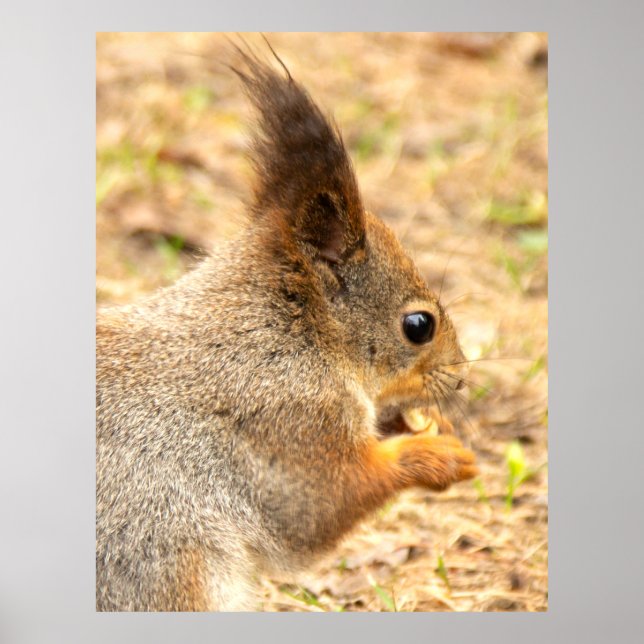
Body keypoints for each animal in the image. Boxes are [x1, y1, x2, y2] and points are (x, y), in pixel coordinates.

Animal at [96, 44, 478, 612]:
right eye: (418, 325)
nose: (460, 377)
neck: (288, 333)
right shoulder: (287, 421)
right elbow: (321, 503)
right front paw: (434, 454)